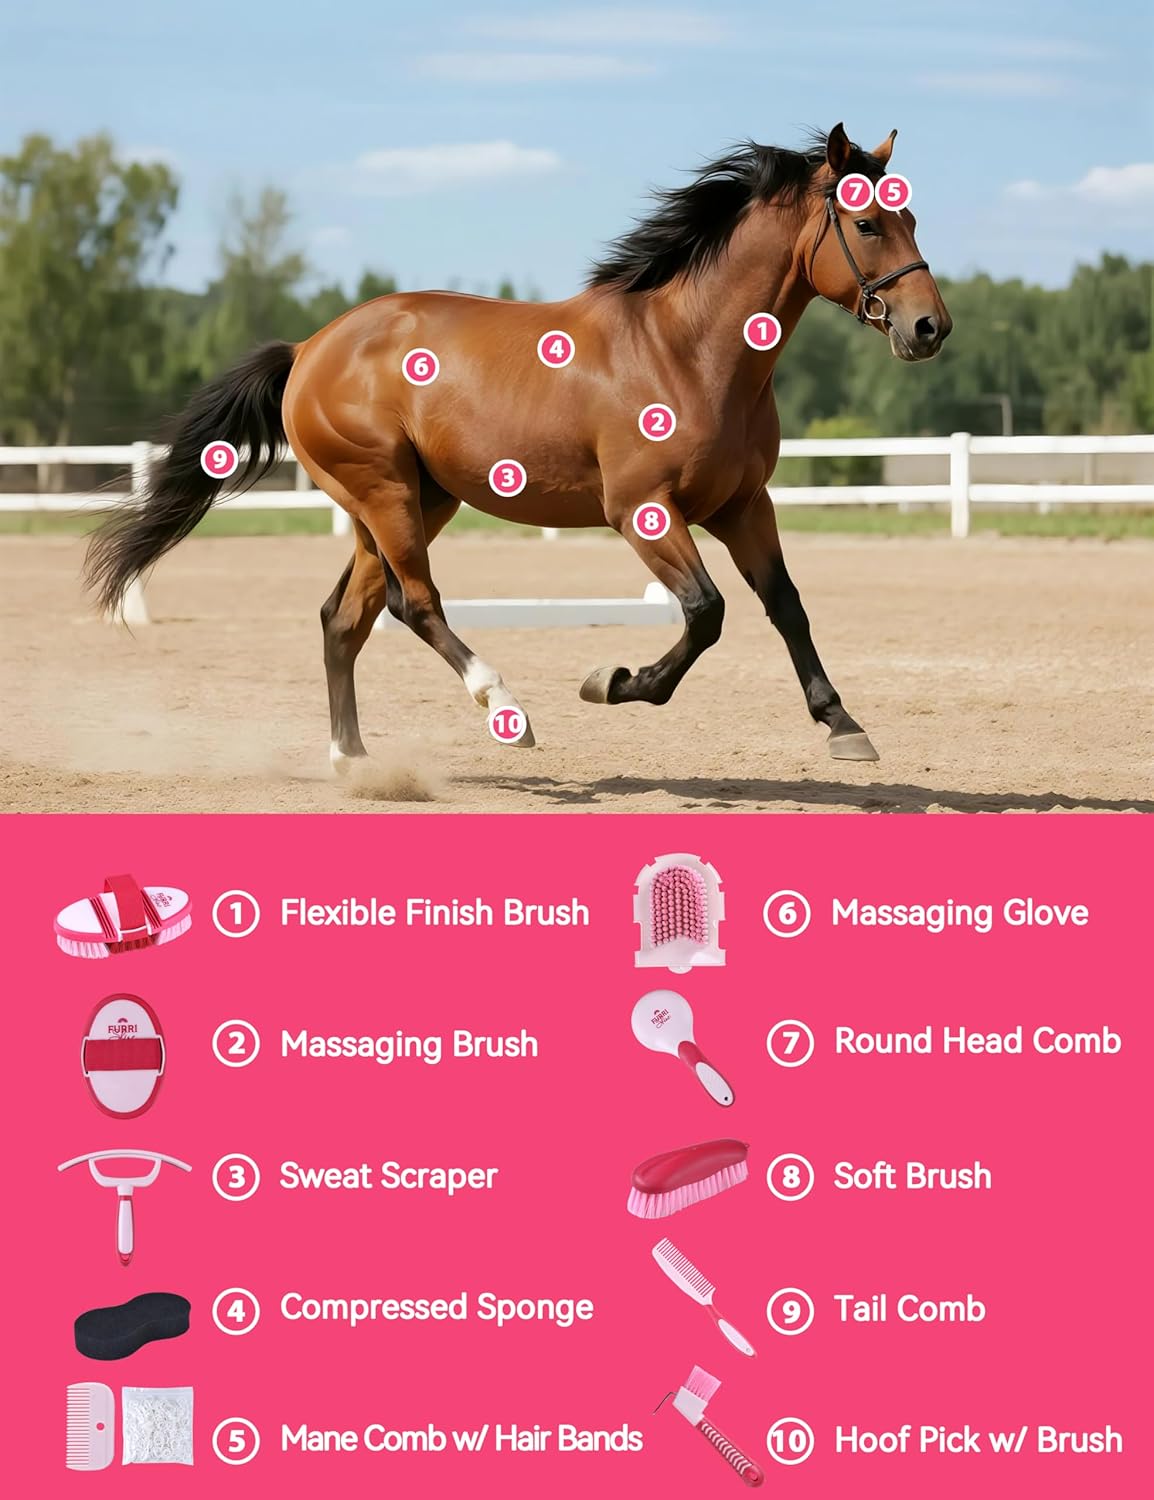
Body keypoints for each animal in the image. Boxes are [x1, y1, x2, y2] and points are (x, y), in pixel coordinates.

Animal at [86, 123, 951, 770]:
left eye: (911, 219)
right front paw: (613, 681)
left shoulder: (744, 505)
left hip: (408, 502)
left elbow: (785, 605)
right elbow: (706, 613)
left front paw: (843, 726)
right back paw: (506, 710)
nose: (930, 328)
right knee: (412, 602)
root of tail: (309, 348)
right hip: (385, 494)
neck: (688, 350)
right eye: (867, 223)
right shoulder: (641, 510)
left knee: (345, 617)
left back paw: (355, 762)